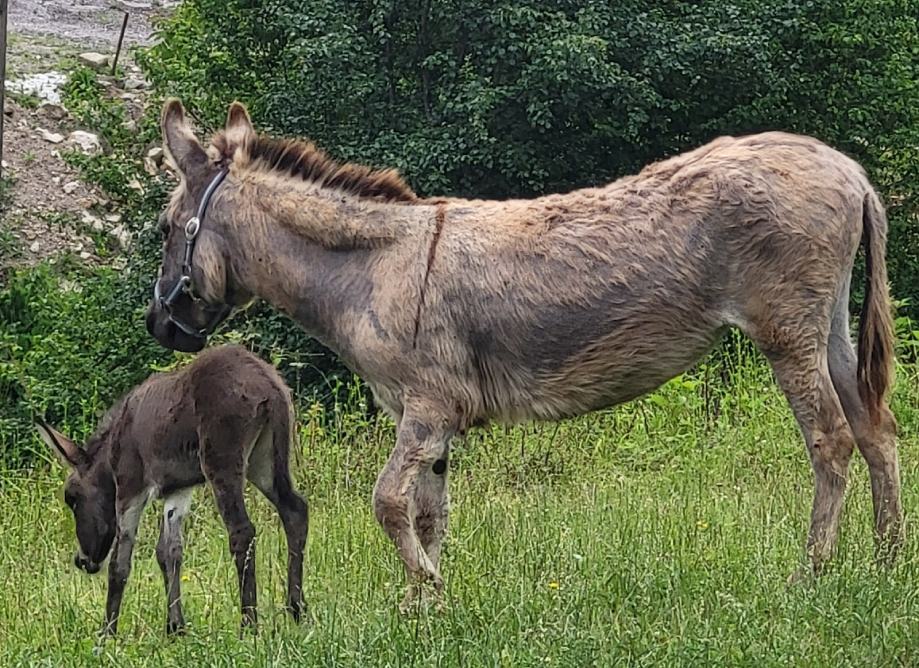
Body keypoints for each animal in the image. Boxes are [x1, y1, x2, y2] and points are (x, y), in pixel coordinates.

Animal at [36, 348, 310, 636]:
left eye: (72, 498)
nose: (82, 560)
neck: (111, 454)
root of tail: (269, 385)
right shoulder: (178, 489)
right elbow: (169, 552)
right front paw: (176, 626)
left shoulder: (131, 488)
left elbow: (120, 561)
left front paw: (108, 631)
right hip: (264, 461)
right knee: (295, 511)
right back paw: (296, 608)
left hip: (222, 462)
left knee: (242, 531)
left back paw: (248, 622)